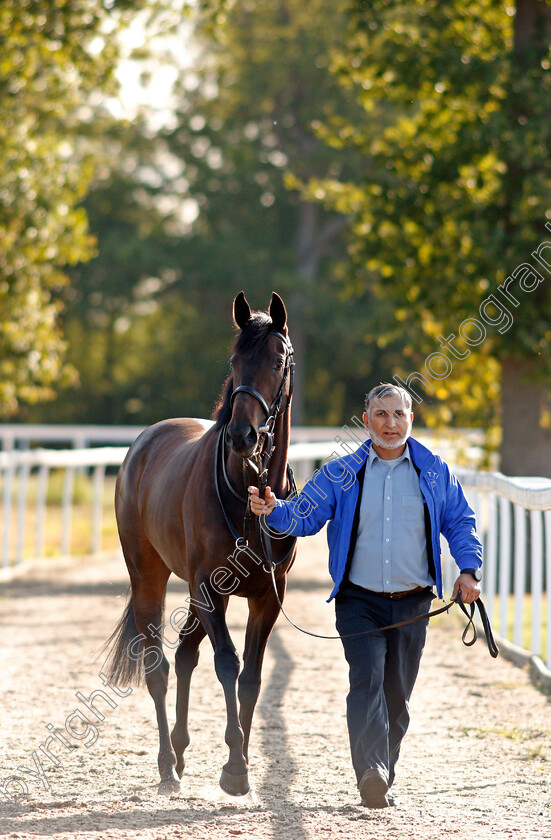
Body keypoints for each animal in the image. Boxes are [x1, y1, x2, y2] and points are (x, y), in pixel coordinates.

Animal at [103, 292, 298, 796]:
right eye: (234, 360)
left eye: (277, 360)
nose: (243, 435)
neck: (247, 496)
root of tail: (144, 443)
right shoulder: (210, 589)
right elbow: (227, 664)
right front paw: (234, 766)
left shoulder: (266, 597)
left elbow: (251, 677)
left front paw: (241, 758)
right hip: (152, 577)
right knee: (159, 666)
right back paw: (166, 766)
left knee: (185, 655)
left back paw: (181, 749)